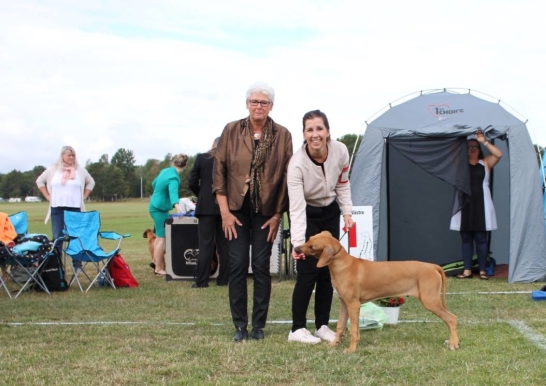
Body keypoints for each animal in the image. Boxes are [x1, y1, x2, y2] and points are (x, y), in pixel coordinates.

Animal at [294, 231, 460, 354]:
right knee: (450, 319)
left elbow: (353, 329)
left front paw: (351, 349)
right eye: (309, 239)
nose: (296, 249)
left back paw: (453, 344)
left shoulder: (353, 304)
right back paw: (452, 342)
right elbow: (340, 326)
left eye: (312, 247)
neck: (343, 265)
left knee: (452, 318)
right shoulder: (344, 303)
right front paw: (334, 344)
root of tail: (433, 266)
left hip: (430, 300)